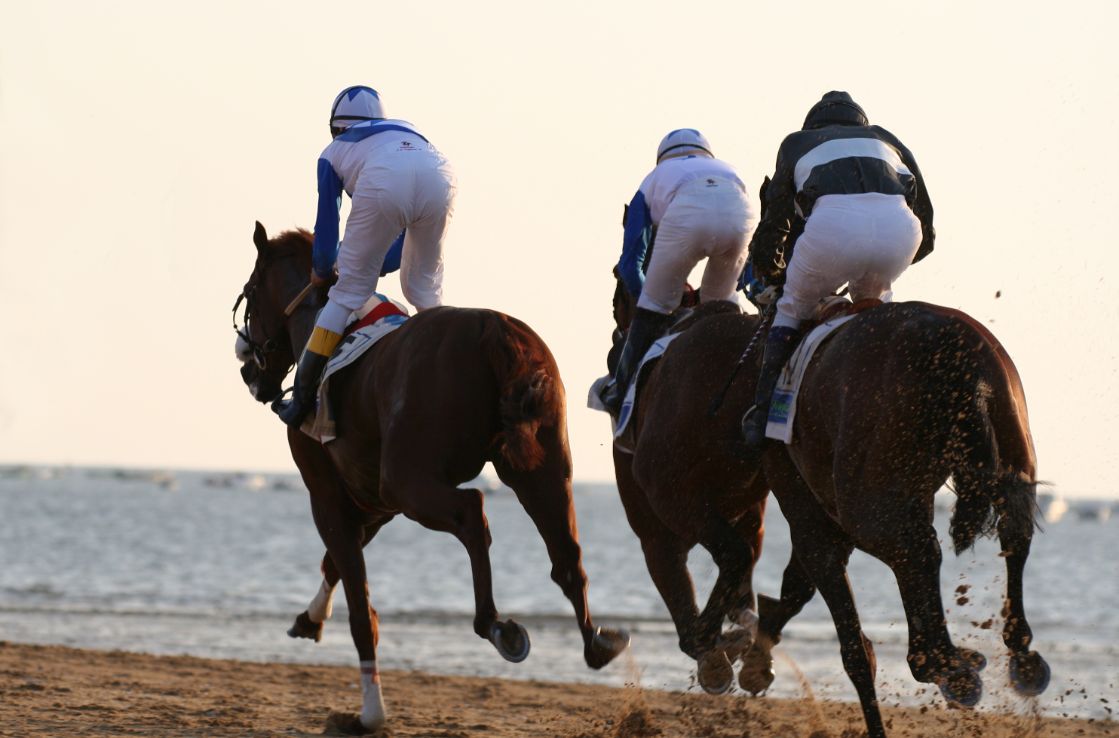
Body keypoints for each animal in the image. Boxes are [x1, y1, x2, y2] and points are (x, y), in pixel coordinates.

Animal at [233, 224, 631, 733]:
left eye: (249, 293)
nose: (246, 363)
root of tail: (497, 332)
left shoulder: (331, 492)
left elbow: (357, 600)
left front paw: (371, 712)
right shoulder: (375, 503)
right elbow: (335, 565)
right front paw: (310, 618)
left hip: (411, 482)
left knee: (473, 511)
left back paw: (495, 624)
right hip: (544, 468)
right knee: (566, 552)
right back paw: (596, 641)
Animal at [734, 299, 1047, 738]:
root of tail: (951, 345)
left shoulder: (807, 507)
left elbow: (851, 644)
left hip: (867, 505)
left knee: (918, 553)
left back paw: (945, 665)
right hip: (1011, 440)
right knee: (1009, 530)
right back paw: (1013, 656)